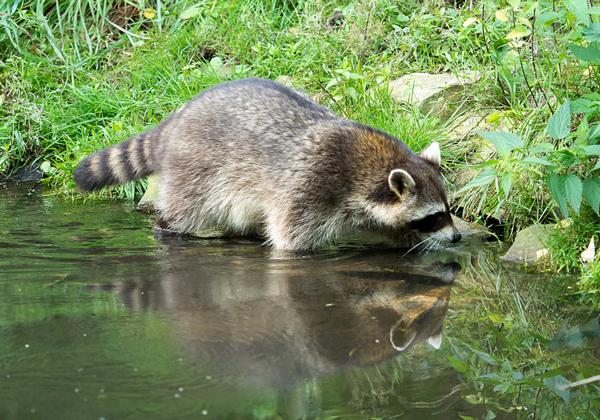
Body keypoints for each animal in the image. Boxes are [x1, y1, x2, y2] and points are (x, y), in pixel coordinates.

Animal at [74, 78, 460, 249]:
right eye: (434, 215)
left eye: (448, 209)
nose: (456, 236)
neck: (369, 167)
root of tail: (178, 118)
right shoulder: (311, 186)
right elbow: (290, 239)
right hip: (196, 171)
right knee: (183, 211)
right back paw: (172, 227)